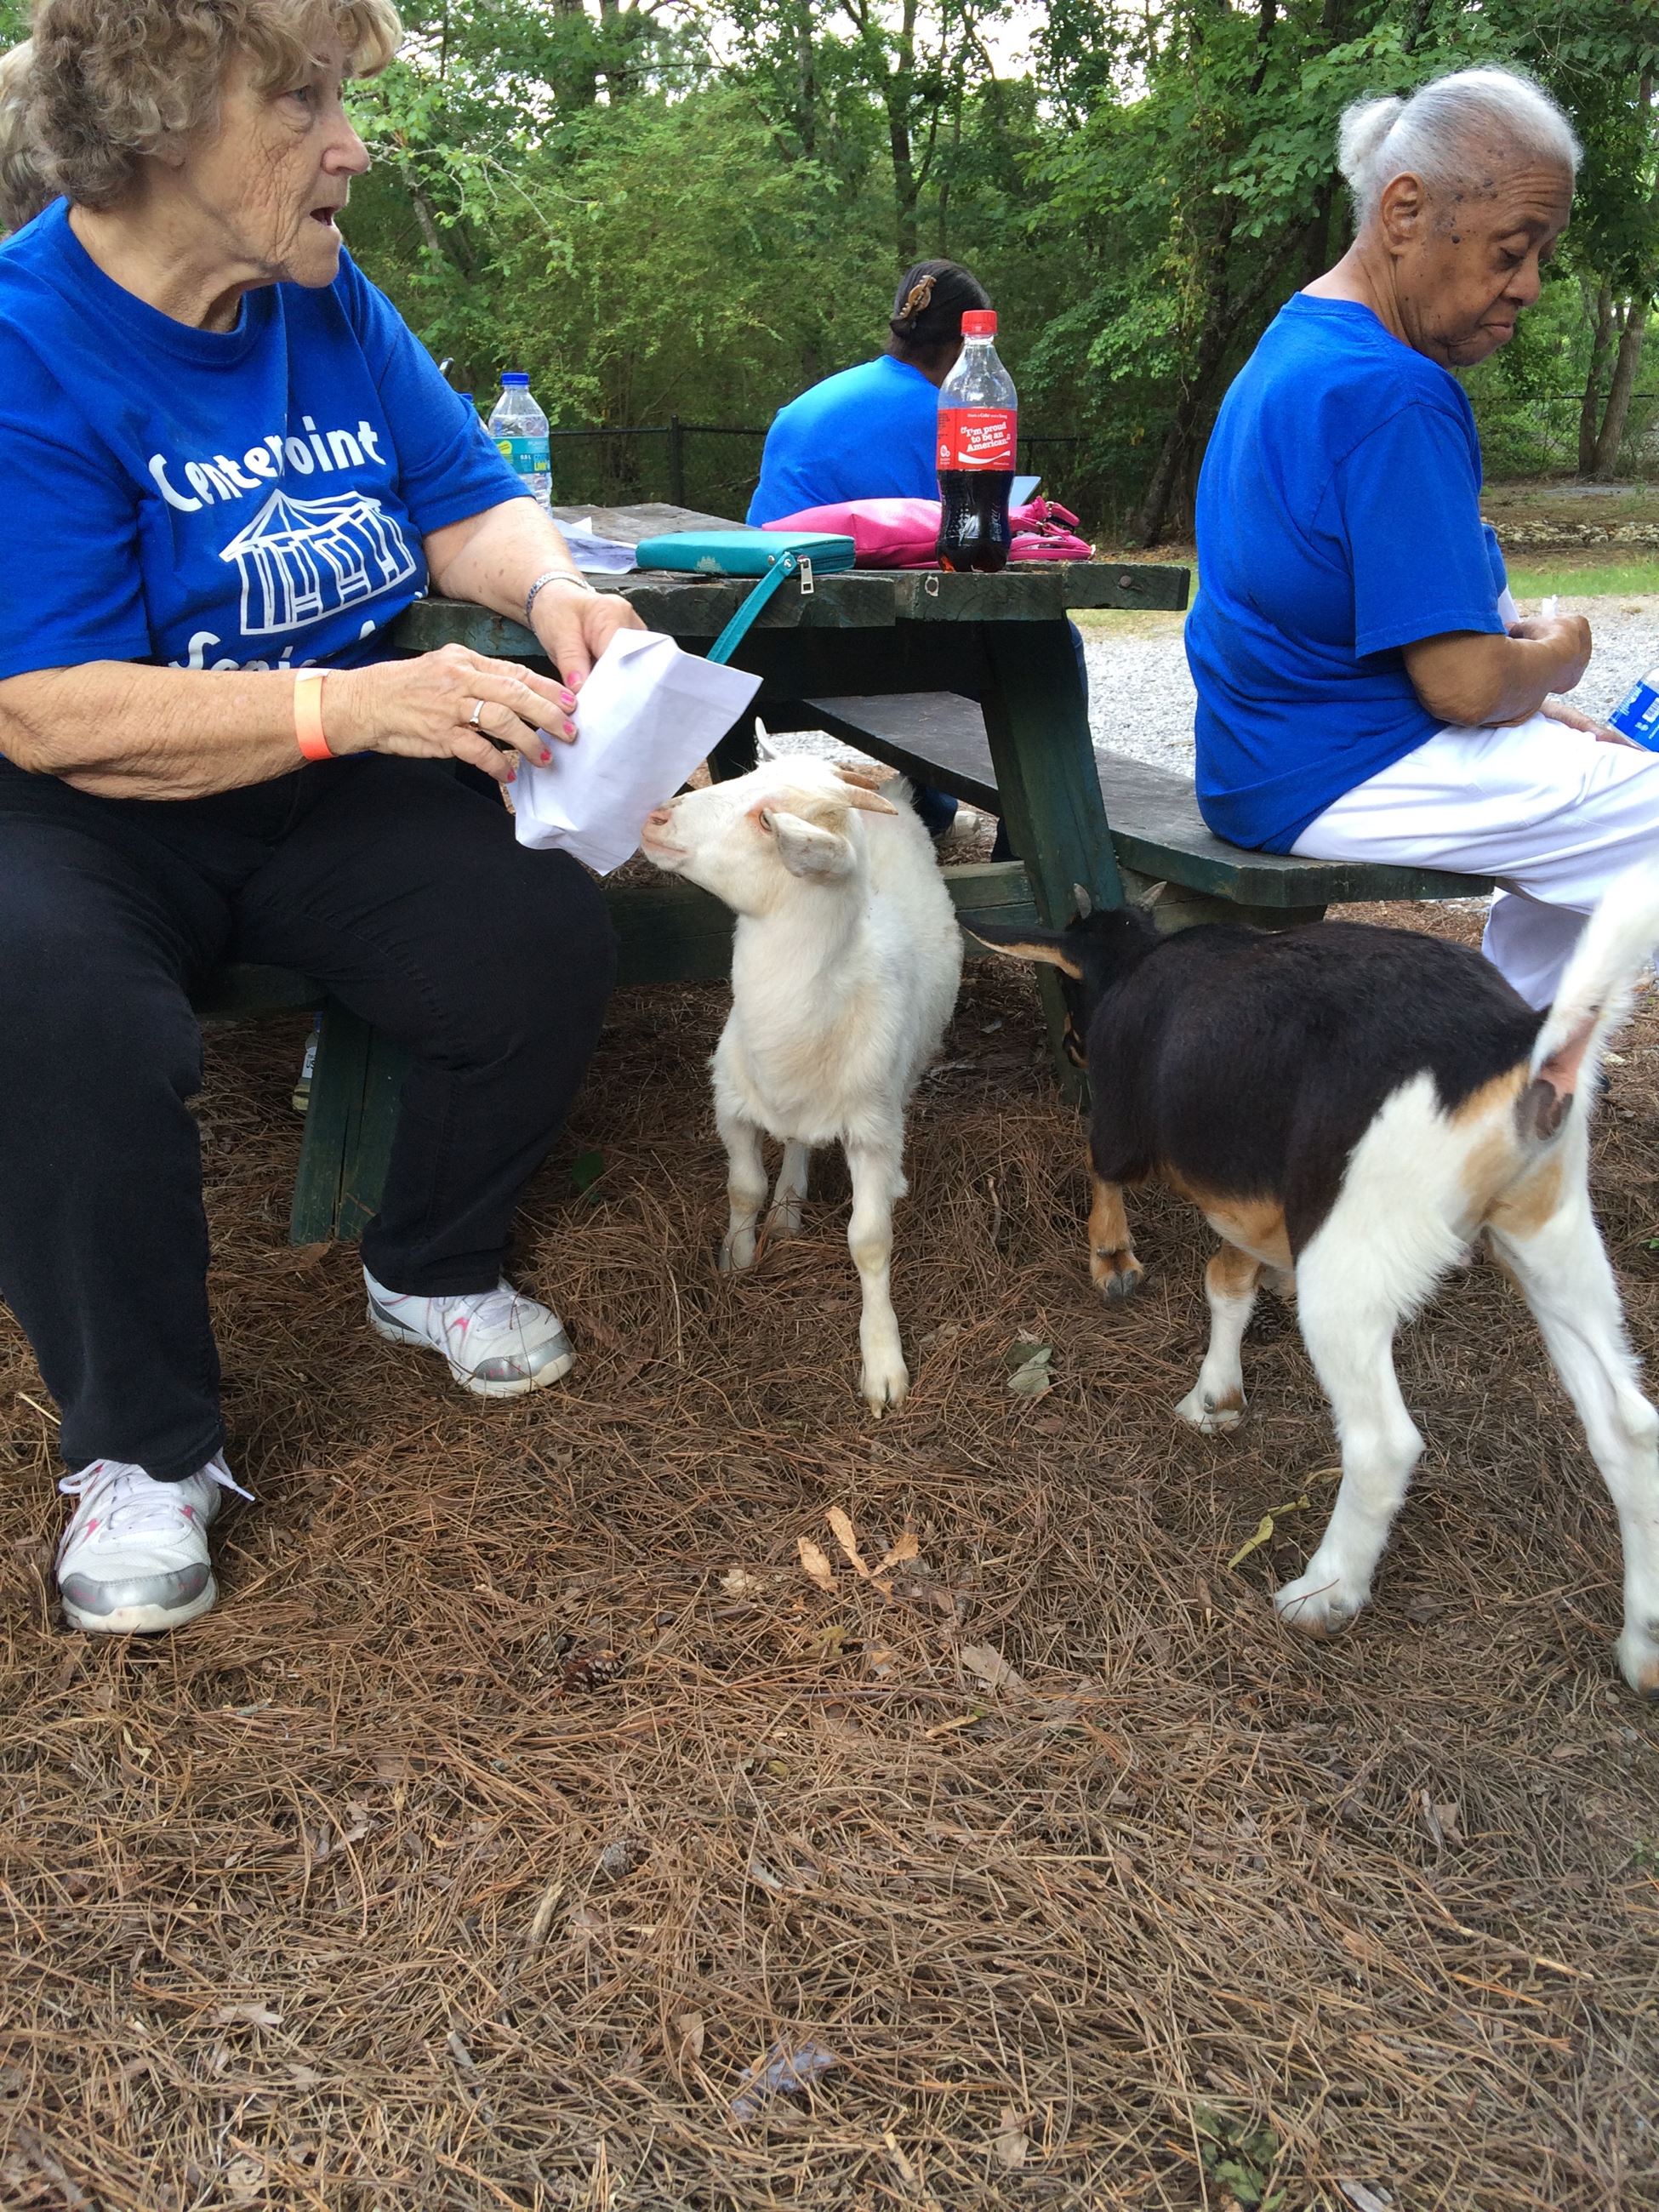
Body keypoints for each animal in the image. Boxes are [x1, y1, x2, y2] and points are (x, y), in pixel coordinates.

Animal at [641, 758, 962, 1411]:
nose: (655, 816)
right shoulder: (732, 1105)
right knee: (793, 1139)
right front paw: (738, 1259)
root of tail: (893, 793)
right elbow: (744, 1189)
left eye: (766, 820)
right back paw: (788, 1207)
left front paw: (883, 1363)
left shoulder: (872, 1131)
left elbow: (869, 1240)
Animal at [972, 874, 1659, 1694]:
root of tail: (1521, 1040)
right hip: (1552, 1240)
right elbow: (1227, 1277)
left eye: (1075, 1004)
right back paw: (1645, 1644)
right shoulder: (1256, 1201)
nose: (1073, 1046)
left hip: (1351, 1258)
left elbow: (1101, 1166)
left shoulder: (1130, 1128)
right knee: (1627, 1425)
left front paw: (1112, 1260)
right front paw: (1216, 1391)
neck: (1140, 960)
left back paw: (1325, 1591)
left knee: (1383, 1444)